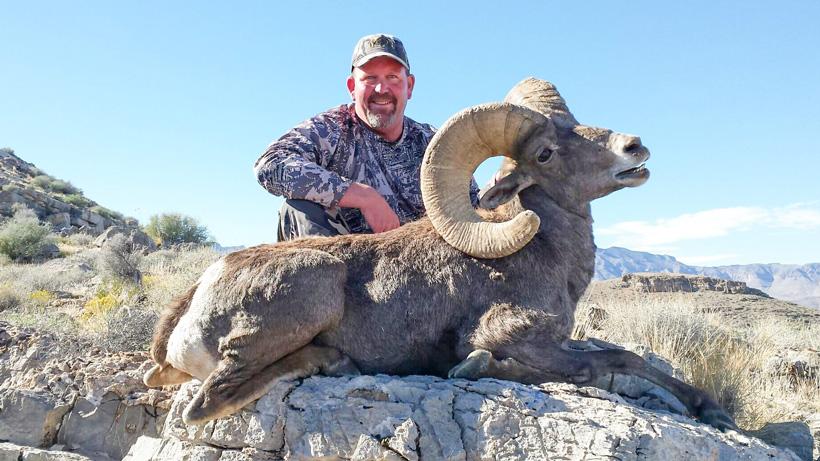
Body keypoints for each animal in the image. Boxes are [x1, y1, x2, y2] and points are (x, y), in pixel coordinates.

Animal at [143, 77, 736, 431]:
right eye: (546, 152)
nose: (634, 148)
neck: (546, 256)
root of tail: (197, 296)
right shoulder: (508, 332)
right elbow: (608, 362)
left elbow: (619, 357)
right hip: (308, 293)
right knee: (205, 404)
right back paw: (331, 362)